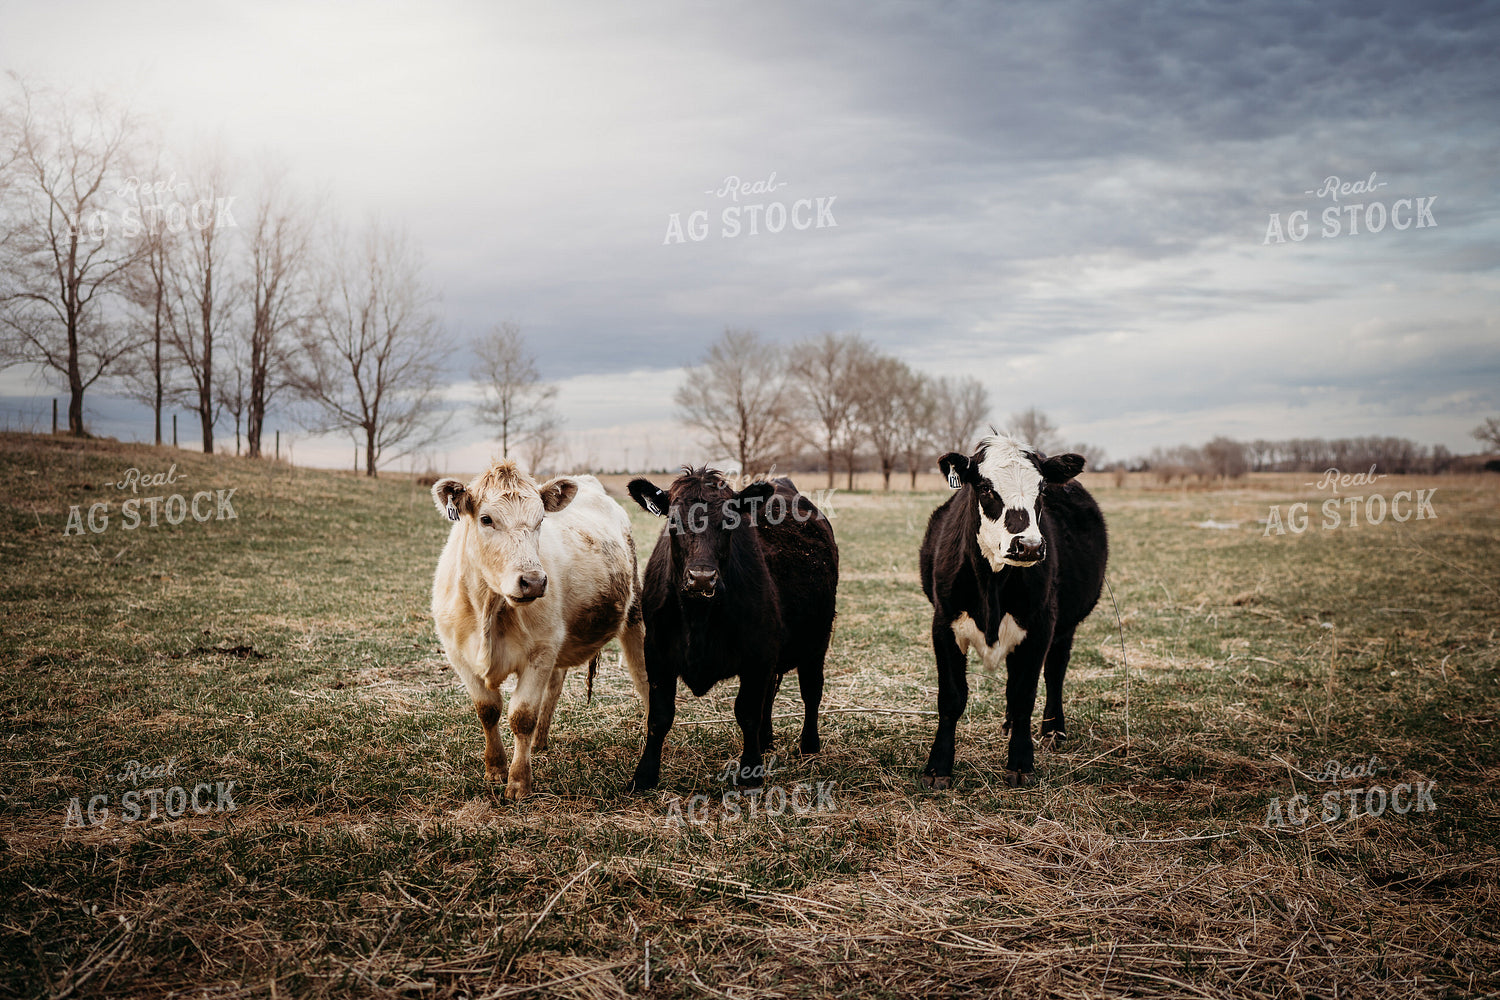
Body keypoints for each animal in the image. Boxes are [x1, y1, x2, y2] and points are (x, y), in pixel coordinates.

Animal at [430, 461, 648, 799]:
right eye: (486, 519)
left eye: (540, 519)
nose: (533, 581)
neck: (489, 607)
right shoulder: (459, 655)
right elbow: (487, 710)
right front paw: (495, 769)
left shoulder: (540, 653)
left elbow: (522, 717)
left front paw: (519, 782)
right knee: (555, 685)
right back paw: (540, 742)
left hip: (634, 615)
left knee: (644, 680)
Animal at [623, 468, 838, 792]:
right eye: (673, 521)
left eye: (729, 522)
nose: (701, 578)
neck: (698, 618)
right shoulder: (656, 651)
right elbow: (659, 715)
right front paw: (644, 775)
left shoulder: (758, 654)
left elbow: (747, 711)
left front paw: (750, 772)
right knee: (771, 694)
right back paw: (766, 740)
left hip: (817, 641)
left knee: (811, 691)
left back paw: (808, 745)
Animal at [918, 434, 1108, 789]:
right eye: (985, 487)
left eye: (1042, 489)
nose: (1029, 546)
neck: (991, 585)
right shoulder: (944, 624)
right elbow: (951, 697)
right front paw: (938, 768)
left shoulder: (1040, 627)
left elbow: (1023, 694)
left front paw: (1021, 763)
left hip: (1065, 627)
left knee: (1055, 672)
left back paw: (1052, 729)